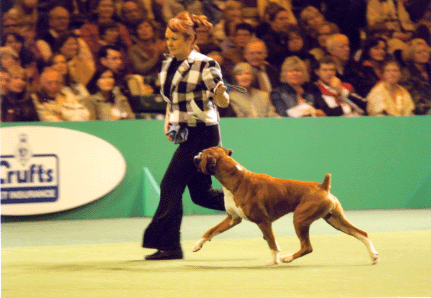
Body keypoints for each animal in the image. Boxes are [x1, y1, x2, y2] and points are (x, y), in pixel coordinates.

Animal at [192, 147, 378, 266]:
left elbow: (271, 242)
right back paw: (373, 256)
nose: (193, 156)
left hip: (300, 219)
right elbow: (210, 231)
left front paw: (274, 260)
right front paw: (197, 245)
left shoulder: (263, 221)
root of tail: (323, 186)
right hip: (335, 220)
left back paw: (287, 258)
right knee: (361, 233)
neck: (236, 179)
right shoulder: (233, 219)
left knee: (307, 247)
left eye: (202, 154)